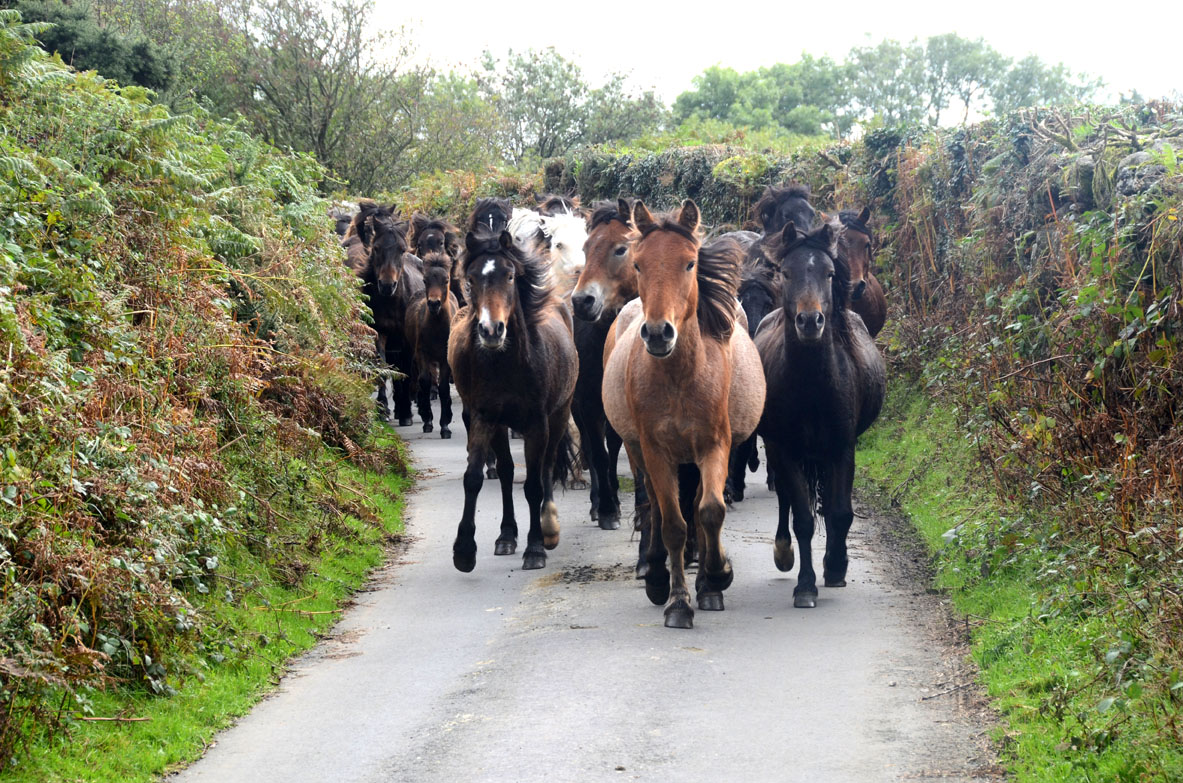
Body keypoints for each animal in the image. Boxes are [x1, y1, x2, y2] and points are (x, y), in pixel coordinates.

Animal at [357, 203, 425, 426]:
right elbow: (382, 368)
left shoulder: (405, 338)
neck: (392, 301)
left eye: (401, 250)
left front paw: (405, 412)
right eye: (377, 248)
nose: (387, 285)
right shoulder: (380, 333)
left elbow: (404, 371)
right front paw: (382, 408)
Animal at [405, 251, 458, 438]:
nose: (434, 303)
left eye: (446, 280)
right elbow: (425, 381)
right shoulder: (422, 354)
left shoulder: (444, 358)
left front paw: (445, 426)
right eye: (425, 280)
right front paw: (428, 420)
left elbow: (443, 387)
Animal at [448, 226, 578, 572]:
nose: (491, 330)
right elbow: (473, 478)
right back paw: (506, 536)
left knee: (546, 467)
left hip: (559, 415)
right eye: (472, 278)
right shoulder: (484, 417)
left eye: (509, 276)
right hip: (501, 425)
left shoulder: (537, 424)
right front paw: (464, 550)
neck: (506, 364)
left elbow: (533, 484)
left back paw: (548, 528)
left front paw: (535, 548)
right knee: (506, 471)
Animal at [602, 199, 765, 629]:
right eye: (638, 264)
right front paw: (677, 601)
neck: (680, 376)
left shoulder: (714, 446)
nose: (659, 333)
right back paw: (656, 574)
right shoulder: (656, 451)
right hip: (639, 450)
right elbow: (672, 523)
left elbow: (710, 511)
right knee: (656, 509)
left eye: (690, 263)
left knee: (696, 506)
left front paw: (717, 577)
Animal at [754, 218, 885, 609]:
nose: (810, 321)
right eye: (786, 272)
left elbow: (839, 512)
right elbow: (803, 518)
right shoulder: (786, 448)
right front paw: (806, 586)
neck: (813, 384)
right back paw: (784, 552)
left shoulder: (842, 447)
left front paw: (836, 567)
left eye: (829, 273)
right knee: (786, 498)